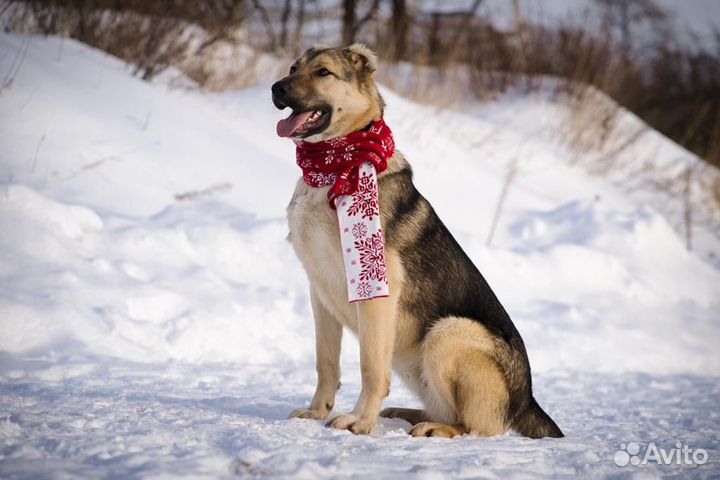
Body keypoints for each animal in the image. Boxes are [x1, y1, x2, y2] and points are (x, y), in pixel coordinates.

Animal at [270, 45, 564, 438]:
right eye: (293, 68)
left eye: (323, 73)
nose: (276, 88)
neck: (334, 167)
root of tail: (527, 398)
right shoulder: (320, 292)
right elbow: (326, 363)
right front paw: (317, 411)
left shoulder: (376, 290)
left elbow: (370, 367)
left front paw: (360, 421)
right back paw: (404, 413)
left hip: (449, 332)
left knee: (479, 426)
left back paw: (433, 428)